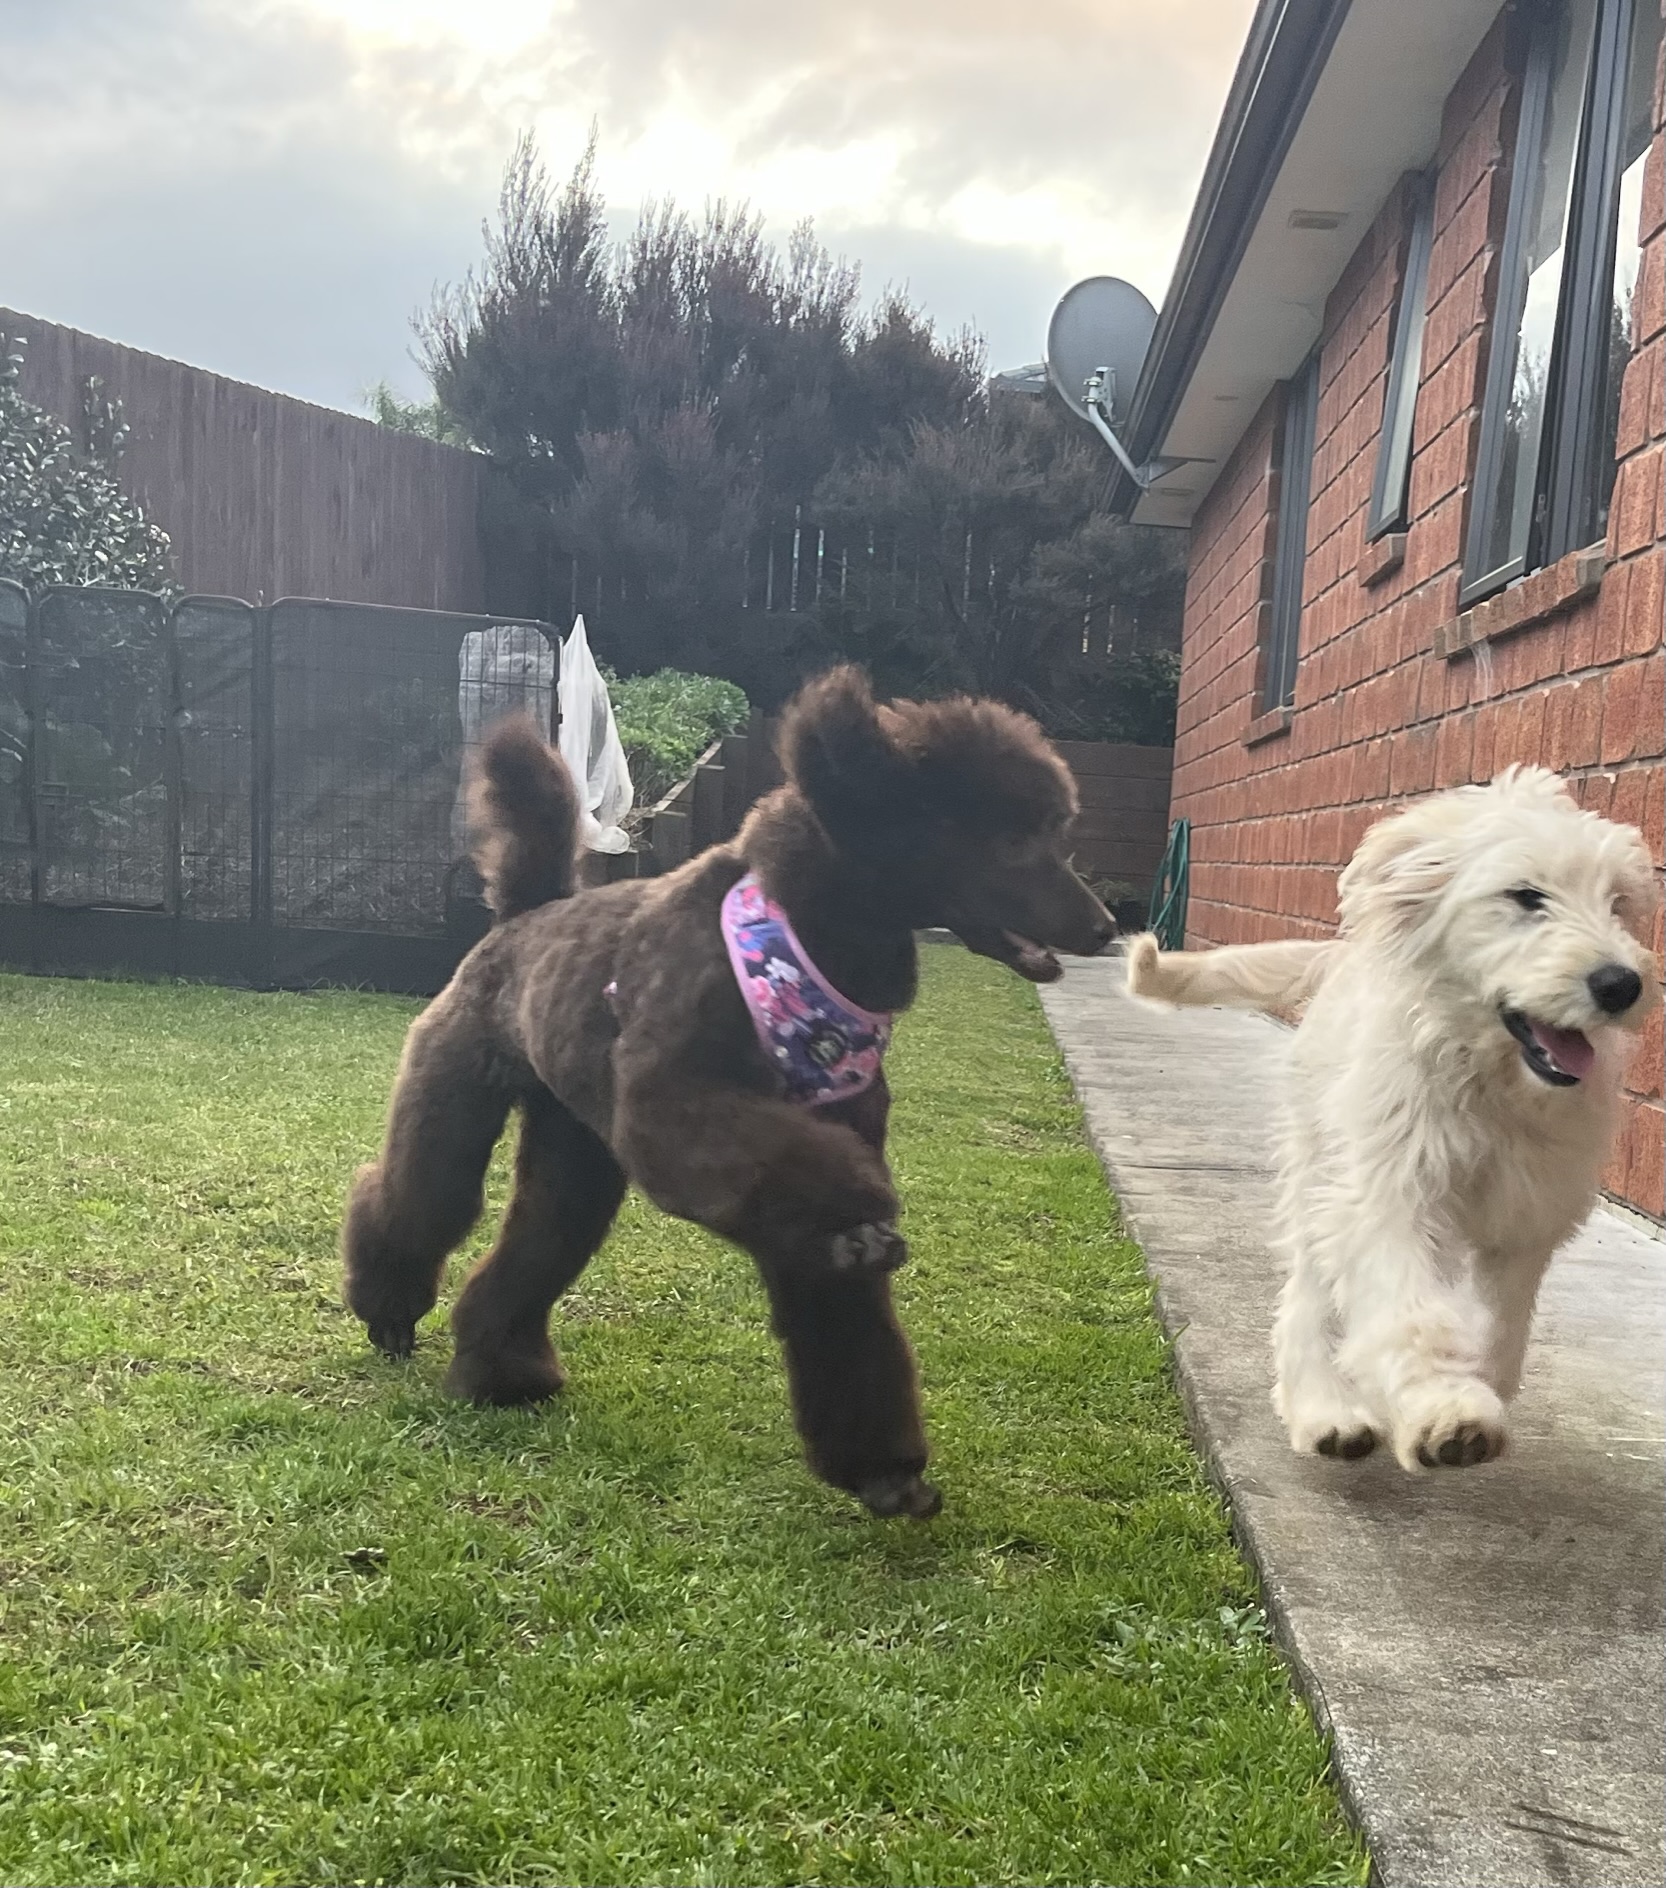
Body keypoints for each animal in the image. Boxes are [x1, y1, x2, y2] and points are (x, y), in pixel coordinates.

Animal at [1125, 766, 1654, 1472]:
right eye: (1525, 895)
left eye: (1618, 903)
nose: (1621, 984)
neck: (1485, 1080)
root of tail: (1336, 959)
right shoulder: (1387, 1192)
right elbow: (1404, 1306)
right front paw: (1444, 1407)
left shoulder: (1529, 1215)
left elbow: (1497, 1323)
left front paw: (1474, 1383)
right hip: (1317, 1169)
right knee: (1306, 1299)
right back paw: (1326, 1410)